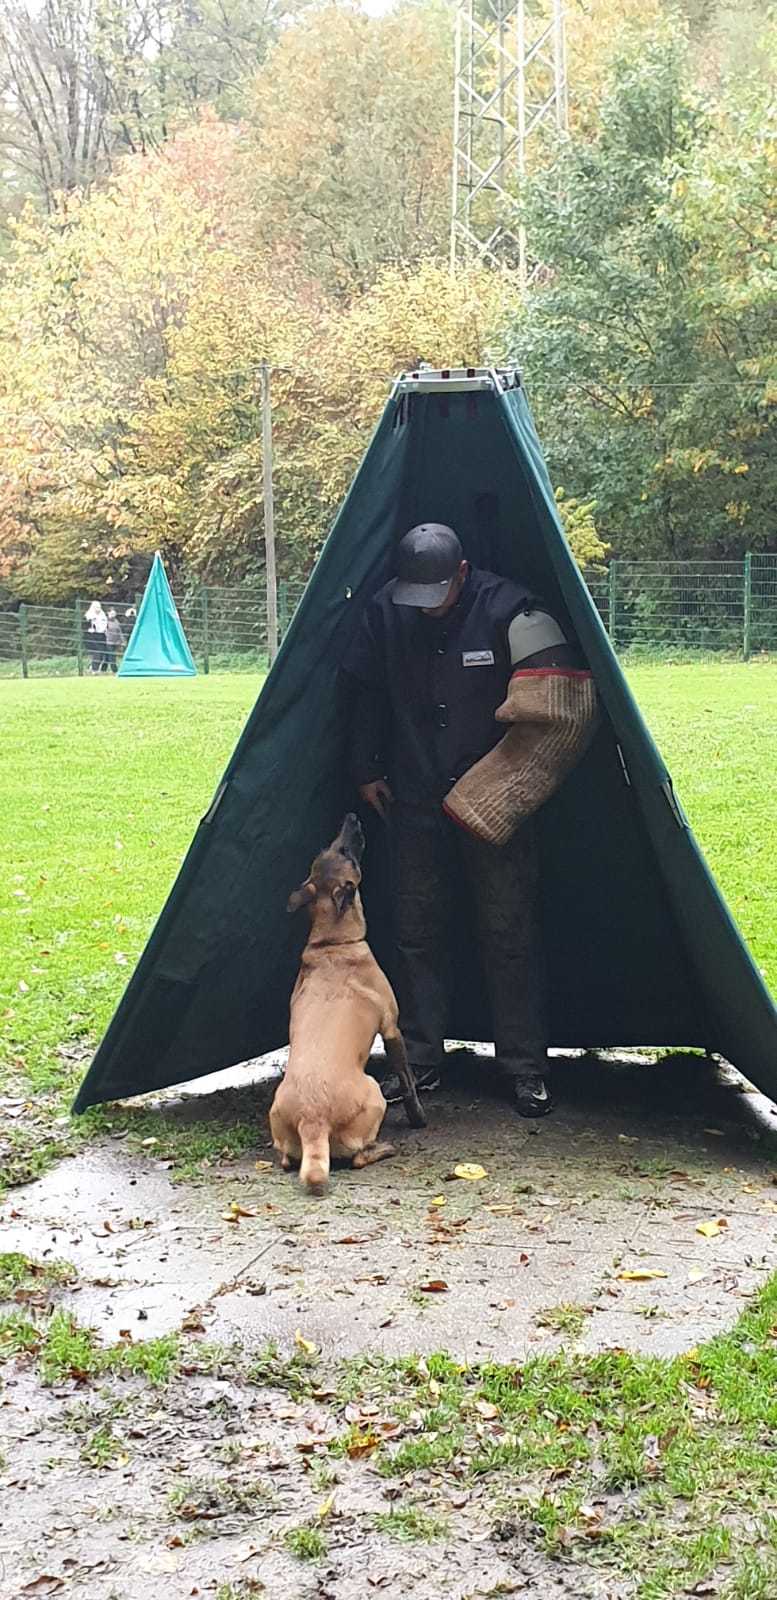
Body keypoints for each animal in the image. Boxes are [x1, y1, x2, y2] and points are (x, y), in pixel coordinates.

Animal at [269, 813, 426, 1195]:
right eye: (345, 852)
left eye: (331, 847)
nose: (352, 816)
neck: (333, 943)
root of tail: (312, 1121)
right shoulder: (392, 1027)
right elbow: (408, 1082)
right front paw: (419, 1118)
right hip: (374, 1093)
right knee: (357, 1158)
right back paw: (384, 1147)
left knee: (285, 1159)